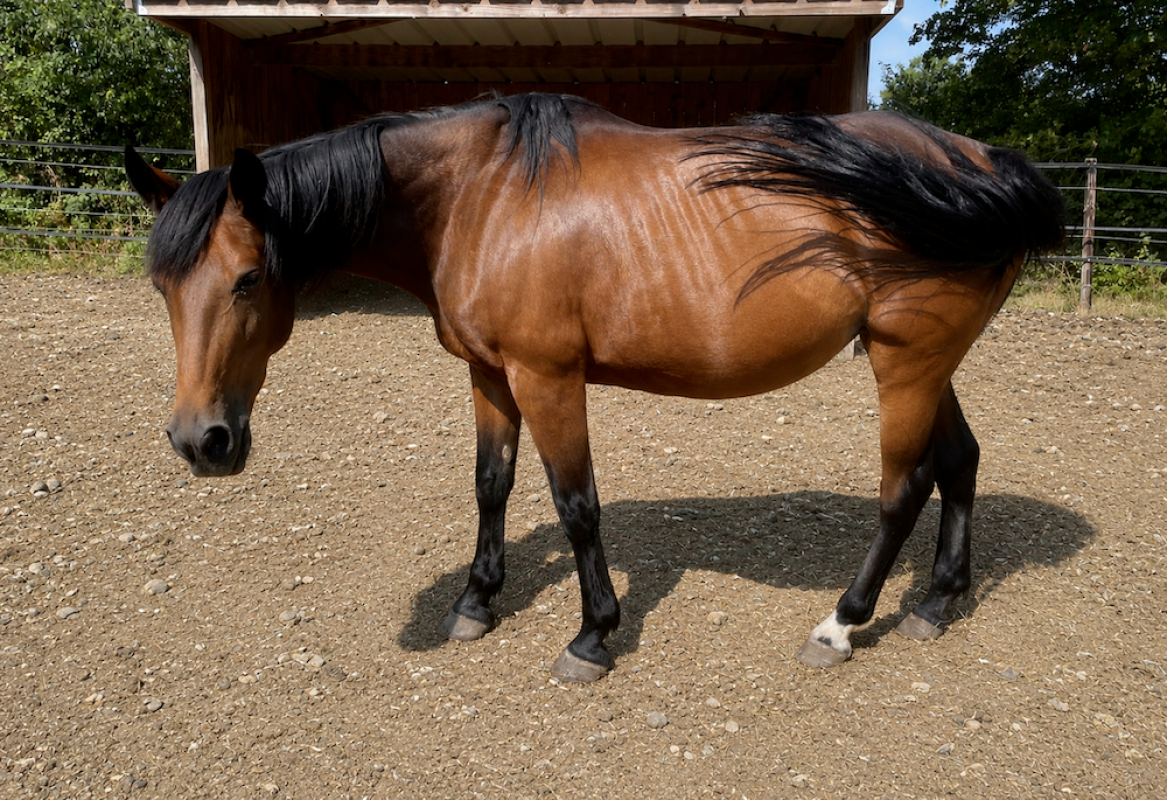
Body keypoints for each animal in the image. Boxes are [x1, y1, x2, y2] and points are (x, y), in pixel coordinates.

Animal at [126, 93, 1065, 681]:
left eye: (248, 279)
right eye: (161, 285)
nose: (201, 441)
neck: (479, 195)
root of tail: (979, 163)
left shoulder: (547, 377)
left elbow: (575, 504)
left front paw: (591, 637)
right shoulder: (489, 374)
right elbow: (491, 485)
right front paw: (476, 601)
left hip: (904, 362)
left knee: (903, 489)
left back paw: (840, 624)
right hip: (927, 362)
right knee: (960, 463)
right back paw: (936, 603)